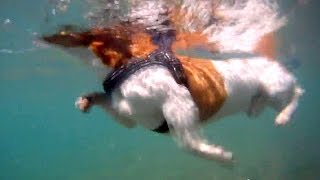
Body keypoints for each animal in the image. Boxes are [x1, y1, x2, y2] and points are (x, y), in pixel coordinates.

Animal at [41, 0, 304, 163]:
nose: (42, 35)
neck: (125, 65)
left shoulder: (179, 102)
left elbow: (187, 144)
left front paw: (220, 157)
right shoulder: (128, 116)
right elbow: (108, 102)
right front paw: (87, 99)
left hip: (275, 87)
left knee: (297, 92)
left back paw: (284, 116)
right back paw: (258, 107)